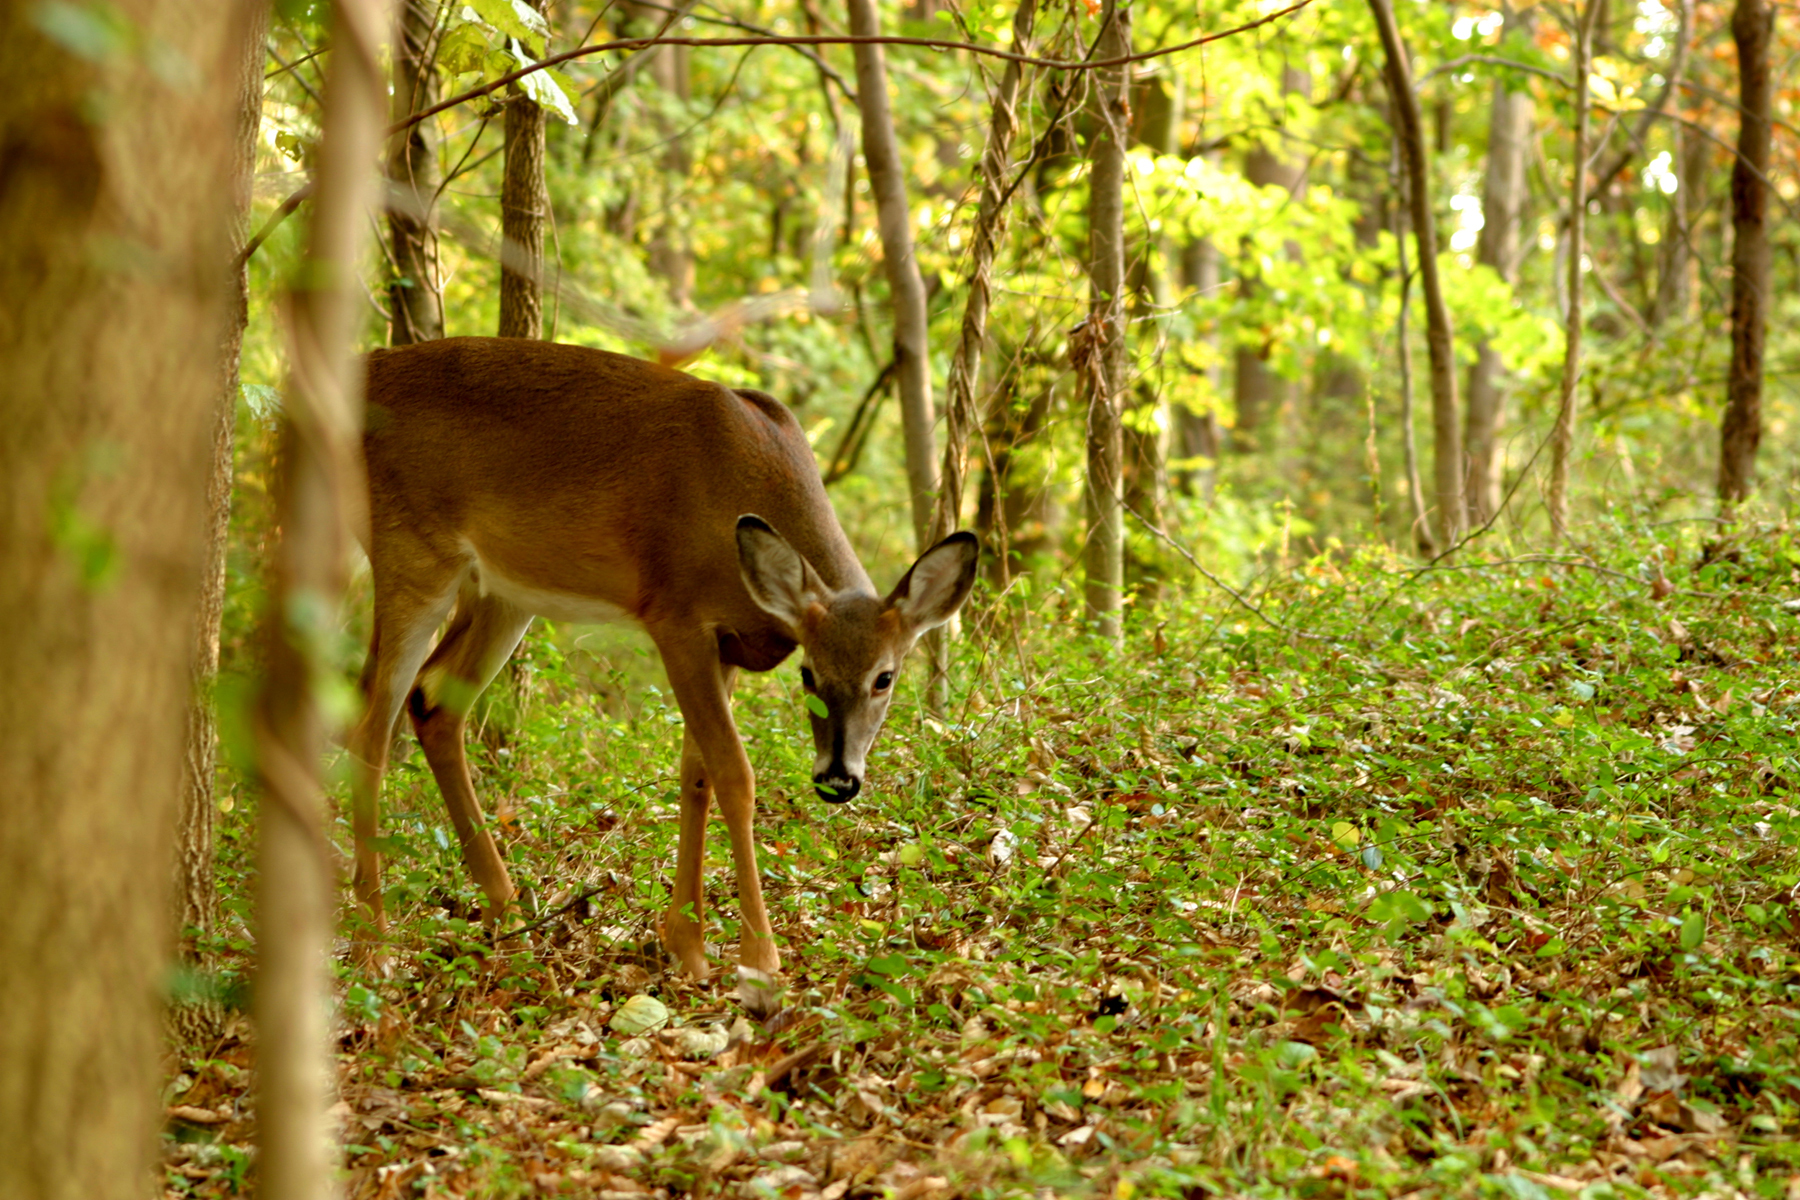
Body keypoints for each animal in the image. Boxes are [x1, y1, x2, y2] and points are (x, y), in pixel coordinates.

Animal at [348, 337, 977, 1013]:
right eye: (809, 675)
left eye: (885, 677)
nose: (838, 779)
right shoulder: (675, 617)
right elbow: (735, 775)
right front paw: (760, 968)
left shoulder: (726, 644)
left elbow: (695, 775)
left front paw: (688, 947)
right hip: (411, 554)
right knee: (369, 724)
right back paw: (374, 949)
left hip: (501, 590)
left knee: (434, 703)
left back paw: (508, 916)